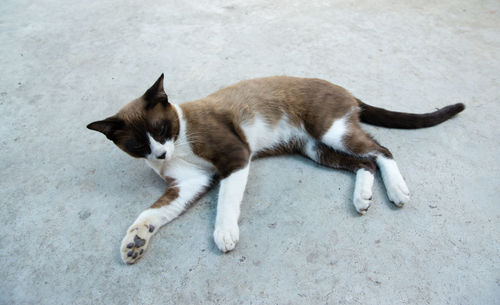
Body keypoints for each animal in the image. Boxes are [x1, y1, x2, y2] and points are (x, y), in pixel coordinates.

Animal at [87, 72, 464, 262]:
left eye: (162, 129)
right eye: (139, 145)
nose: (161, 154)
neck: (180, 145)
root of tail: (347, 91)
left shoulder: (236, 157)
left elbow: (226, 201)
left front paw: (224, 233)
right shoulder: (188, 184)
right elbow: (151, 213)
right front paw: (135, 241)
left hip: (331, 130)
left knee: (381, 150)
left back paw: (397, 191)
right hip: (316, 149)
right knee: (365, 163)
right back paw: (362, 199)